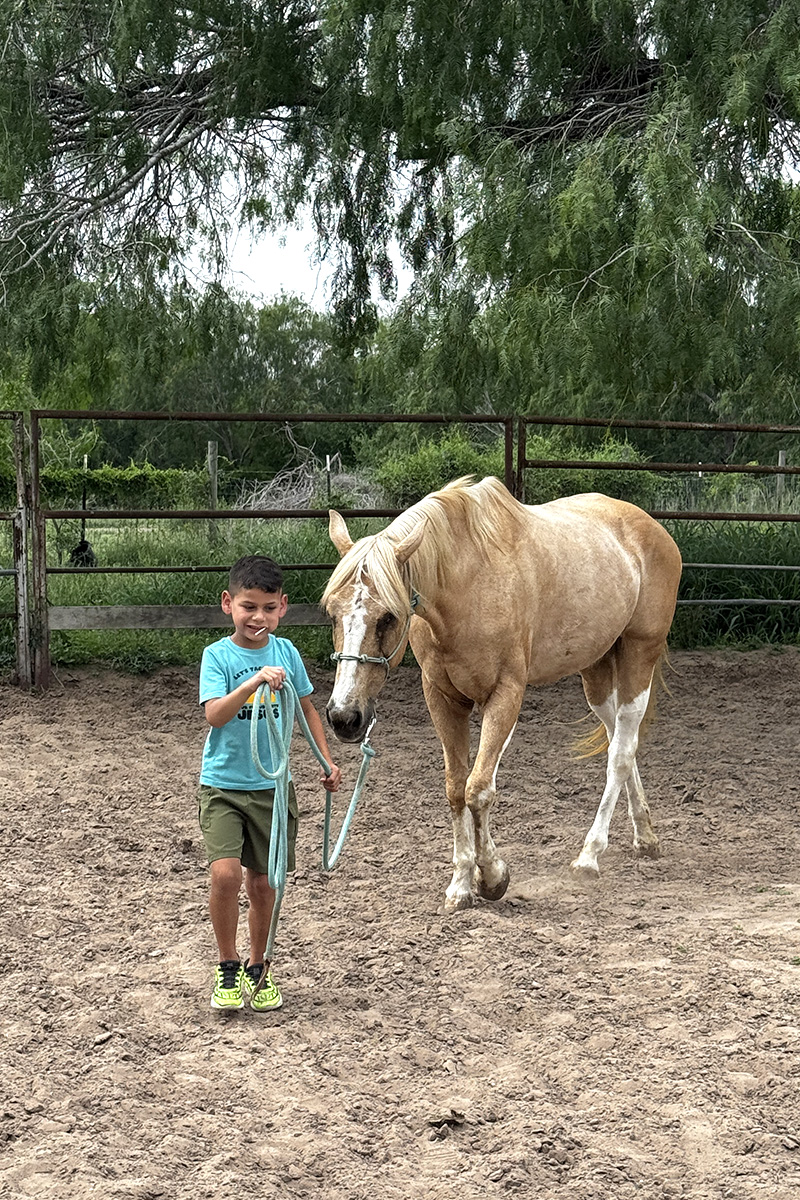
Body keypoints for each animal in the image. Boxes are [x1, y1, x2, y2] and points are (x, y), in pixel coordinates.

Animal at [321, 476, 682, 912]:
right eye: (331, 612)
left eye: (388, 617)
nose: (344, 717)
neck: (467, 586)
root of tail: (653, 529)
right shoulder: (442, 697)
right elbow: (455, 788)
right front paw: (460, 885)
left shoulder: (505, 695)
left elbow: (478, 789)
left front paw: (492, 877)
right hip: (595, 670)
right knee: (619, 740)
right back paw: (645, 836)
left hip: (639, 655)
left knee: (621, 753)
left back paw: (589, 857)